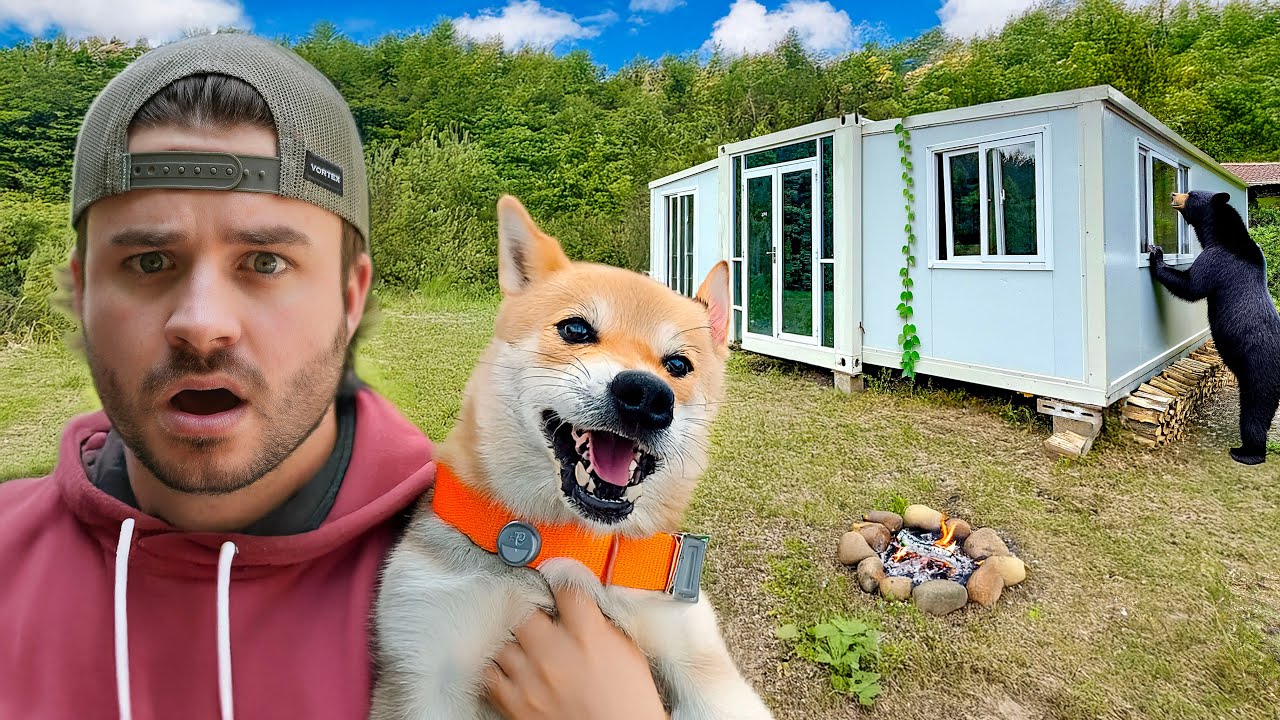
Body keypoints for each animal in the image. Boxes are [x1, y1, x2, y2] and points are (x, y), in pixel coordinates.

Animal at [1148, 189, 1280, 465]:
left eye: (1191, 194)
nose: (1174, 193)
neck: (1222, 234)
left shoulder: (1218, 260)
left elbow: (1192, 285)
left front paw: (1156, 255)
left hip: (1261, 367)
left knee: (1256, 409)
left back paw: (1246, 452)